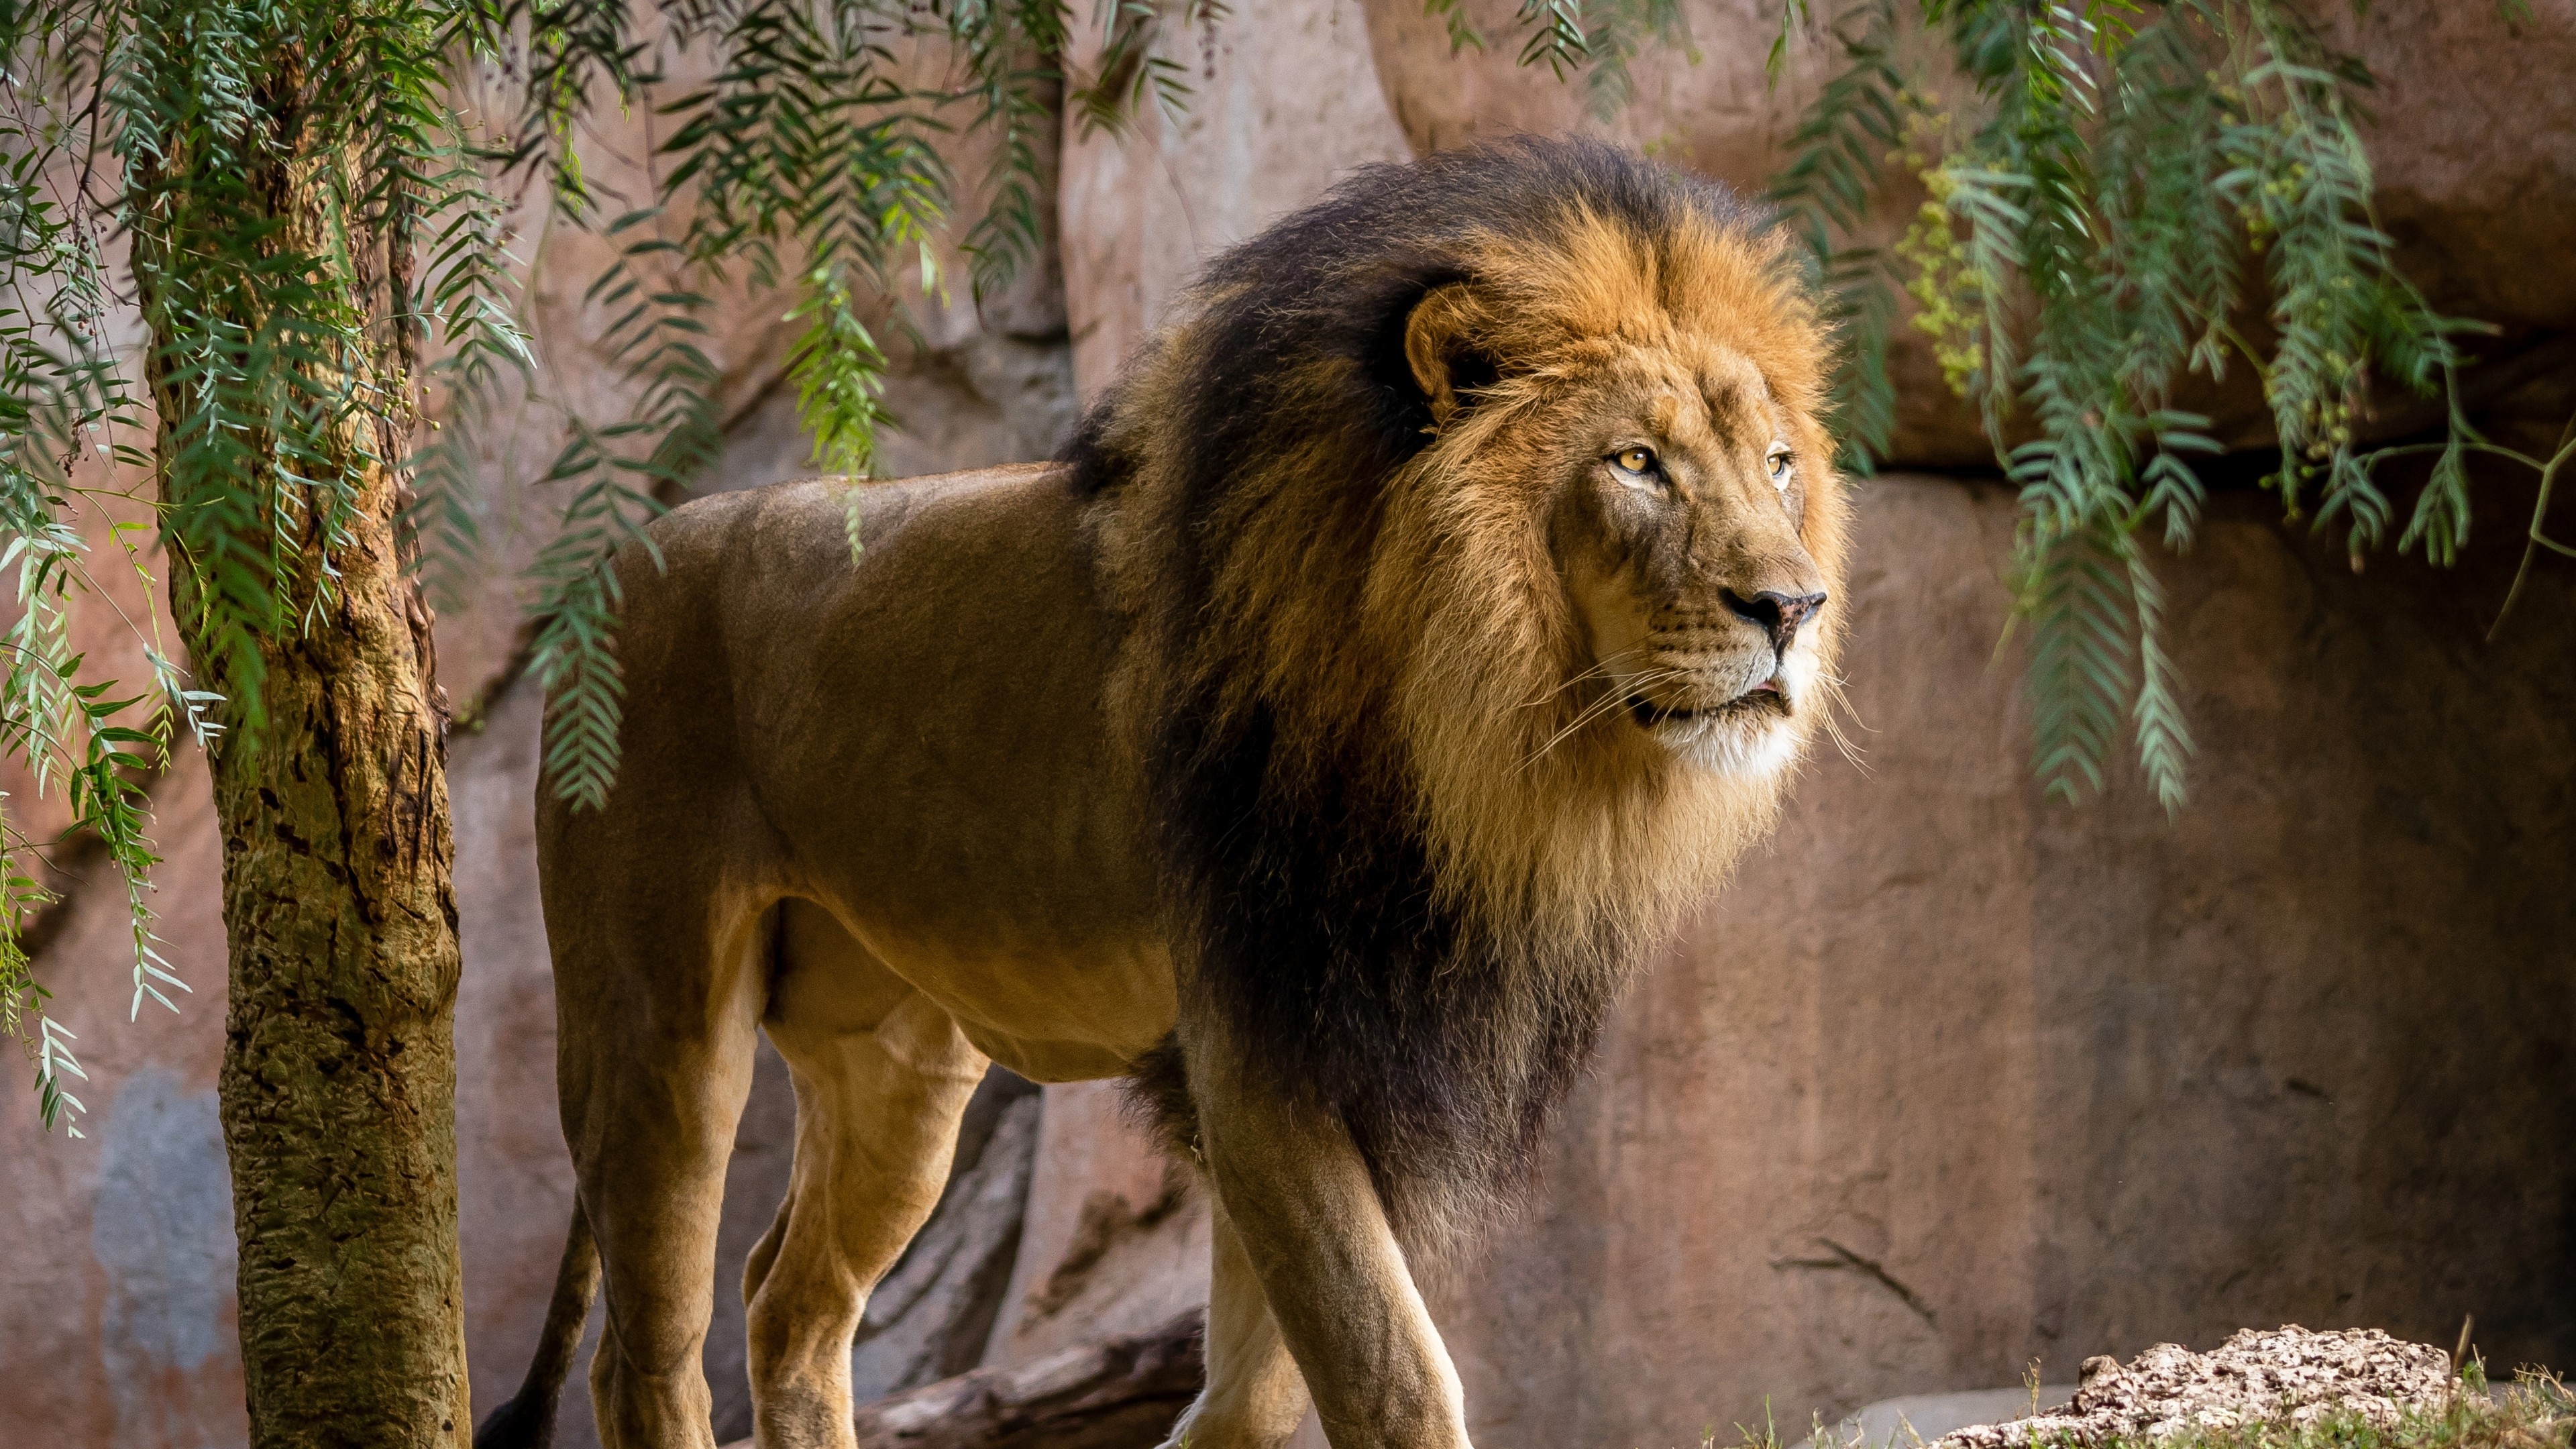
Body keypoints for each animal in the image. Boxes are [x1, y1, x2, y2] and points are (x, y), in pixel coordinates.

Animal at [479, 141, 1854, 1444]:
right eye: (1637, 463)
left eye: (1779, 464)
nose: (1793, 607)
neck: (1477, 733)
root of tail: (618, 566)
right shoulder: (1258, 1041)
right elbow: (1394, 1376)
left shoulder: (1342, 1043)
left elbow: (1263, 1390)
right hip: (656, 1026)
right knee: (646, 1357)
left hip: (895, 1065)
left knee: (790, 1302)